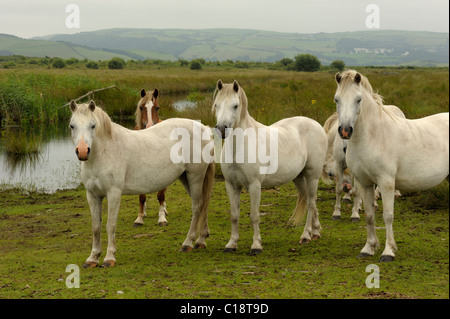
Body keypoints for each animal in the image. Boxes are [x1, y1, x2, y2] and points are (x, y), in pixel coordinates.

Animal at [134, 88, 170, 228]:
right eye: (141, 107)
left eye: (157, 107)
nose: (149, 126)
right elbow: (141, 196)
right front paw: (139, 218)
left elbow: (160, 195)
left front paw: (162, 218)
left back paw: (164, 210)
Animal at [214, 80, 326, 255]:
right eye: (216, 105)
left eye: (235, 105)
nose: (221, 129)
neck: (240, 146)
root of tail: (316, 124)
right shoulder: (231, 185)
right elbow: (234, 215)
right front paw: (232, 244)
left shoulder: (254, 185)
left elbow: (254, 215)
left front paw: (256, 245)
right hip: (299, 178)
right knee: (309, 200)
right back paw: (315, 232)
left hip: (312, 176)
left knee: (311, 203)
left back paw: (306, 235)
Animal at [336, 70, 448, 262]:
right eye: (337, 99)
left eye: (358, 99)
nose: (345, 130)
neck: (373, 136)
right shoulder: (364, 182)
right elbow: (369, 215)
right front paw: (368, 248)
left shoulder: (386, 182)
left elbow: (388, 216)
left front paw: (388, 252)